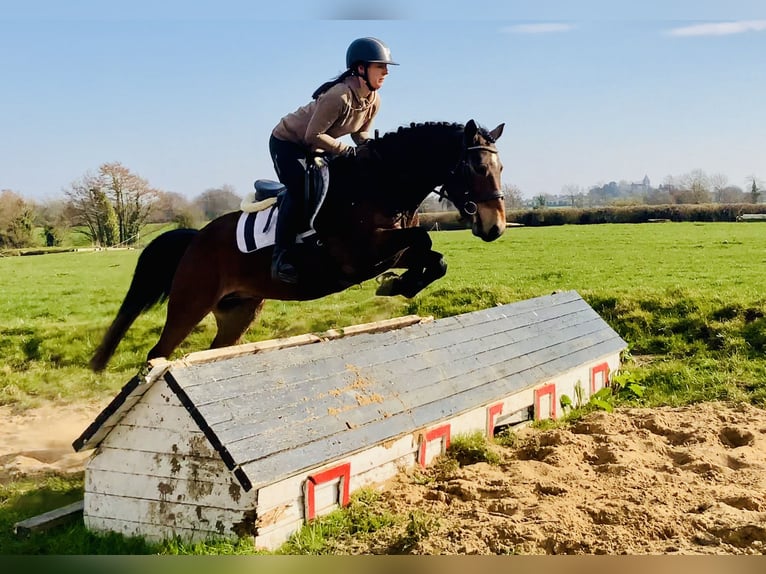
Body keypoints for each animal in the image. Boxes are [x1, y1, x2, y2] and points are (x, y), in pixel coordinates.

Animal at [90, 120, 508, 374]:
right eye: (476, 168)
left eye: (500, 168)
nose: (495, 227)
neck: (382, 183)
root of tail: (196, 238)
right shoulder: (358, 255)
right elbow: (424, 240)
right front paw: (396, 284)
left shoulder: (391, 249)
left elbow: (435, 258)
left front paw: (397, 284)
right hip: (191, 303)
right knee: (158, 352)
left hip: (240, 310)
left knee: (215, 349)